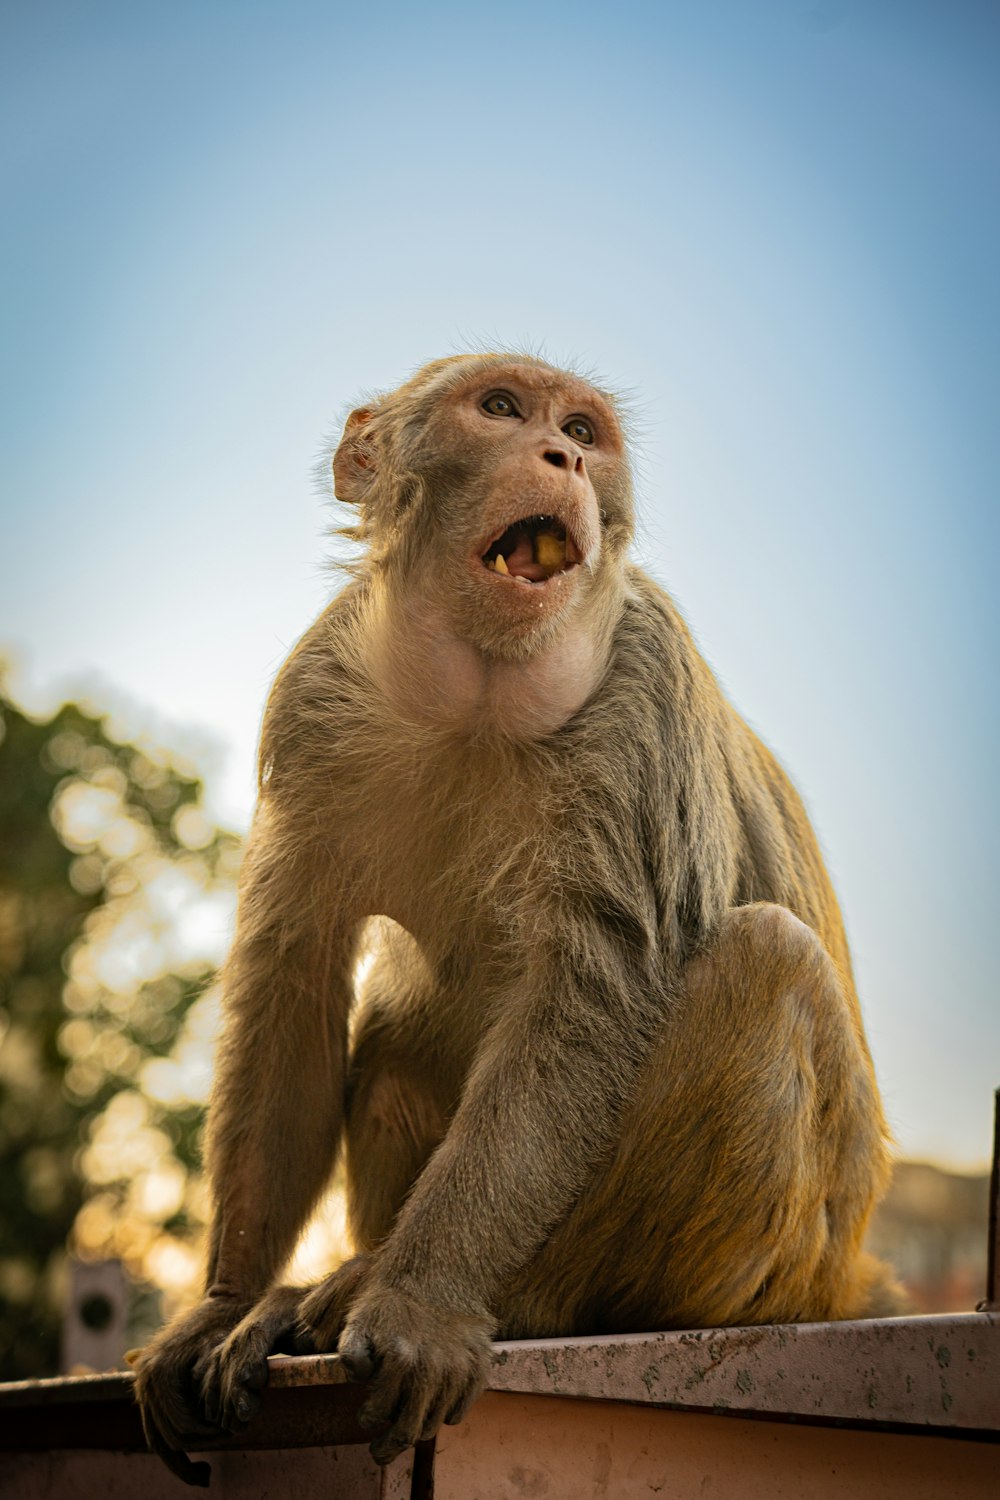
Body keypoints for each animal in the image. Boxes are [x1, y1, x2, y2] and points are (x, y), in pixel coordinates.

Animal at [128, 354, 905, 1488]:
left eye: (581, 430)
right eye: (500, 410)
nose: (563, 457)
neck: (482, 700)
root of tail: (845, 1277)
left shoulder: (645, 691)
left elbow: (590, 1003)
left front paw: (419, 1305)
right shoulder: (310, 698)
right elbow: (292, 979)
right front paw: (220, 1304)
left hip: (773, 1271)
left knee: (760, 960)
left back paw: (509, 1299)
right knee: (393, 1036)